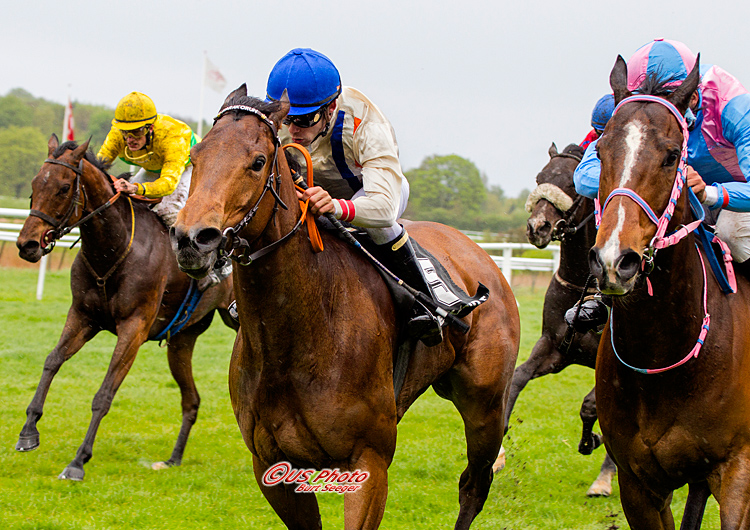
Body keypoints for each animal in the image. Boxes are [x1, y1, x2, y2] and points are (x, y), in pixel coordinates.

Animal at [15, 135, 238, 478]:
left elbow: (105, 393)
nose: (26, 244)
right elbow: (52, 361)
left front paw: (77, 462)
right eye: (35, 183)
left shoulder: (134, 328)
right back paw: (173, 459)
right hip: (182, 341)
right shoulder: (83, 316)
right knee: (192, 400)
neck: (113, 249)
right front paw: (28, 431)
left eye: (64, 188)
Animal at [170, 84, 524, 524]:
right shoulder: (272, 465)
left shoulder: (369, 460)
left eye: (257, 162)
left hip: (484, 406)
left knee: (474, 485)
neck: (299, 334)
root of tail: (481, 257)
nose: (191, 239)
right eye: (195, 157)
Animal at [502, 141, 620, 496]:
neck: (583, 284)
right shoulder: (555, 348)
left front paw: (593, 446)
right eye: (540, 177)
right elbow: (518, 378)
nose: (537, 227)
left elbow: (592, 406)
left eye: (572, 184)